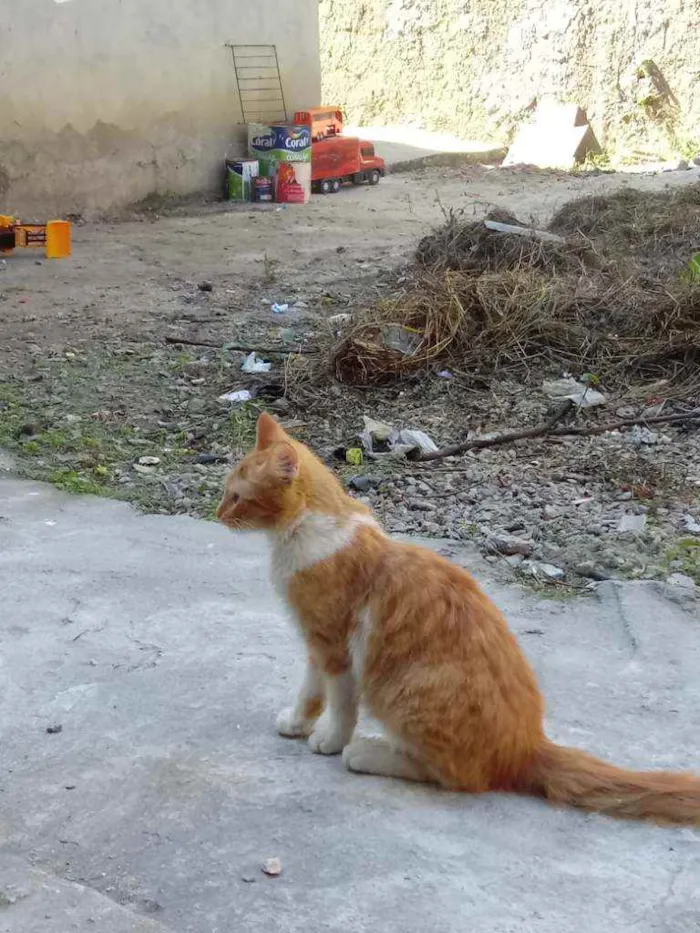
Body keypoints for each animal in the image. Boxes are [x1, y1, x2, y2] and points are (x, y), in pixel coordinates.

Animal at [219, 414, 700, 824]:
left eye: (238, 496)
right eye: (226, 492)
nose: (218, 513)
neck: (307, 530)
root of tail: (527, 745)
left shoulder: (334, 645)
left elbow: (340, 703)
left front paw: (330, 739)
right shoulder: (315, 642)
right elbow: (311, 691)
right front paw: (298, 723)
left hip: (403, 692)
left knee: (457, 776)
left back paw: (366, 753)